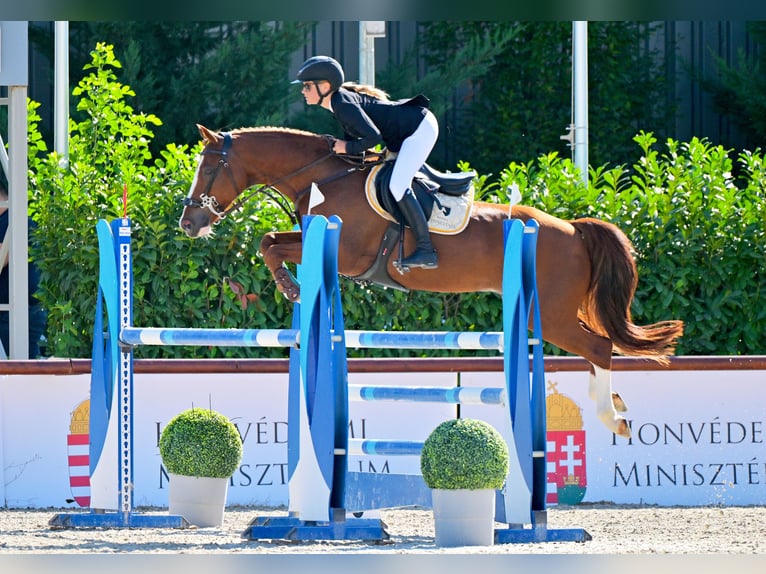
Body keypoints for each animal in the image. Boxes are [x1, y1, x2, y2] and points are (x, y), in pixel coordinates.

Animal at [180, 125, 684, 440]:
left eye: (208, 169)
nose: (189, 223)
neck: (324, 176)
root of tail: (575, 229)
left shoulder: (345, 255)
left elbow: (271, 245)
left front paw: (290, 288)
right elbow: (269, 240)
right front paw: (290, 288)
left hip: (553, 314)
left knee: (600, 346)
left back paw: (612, 417)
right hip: (552, 311)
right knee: (598, 346)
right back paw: (613, 403)